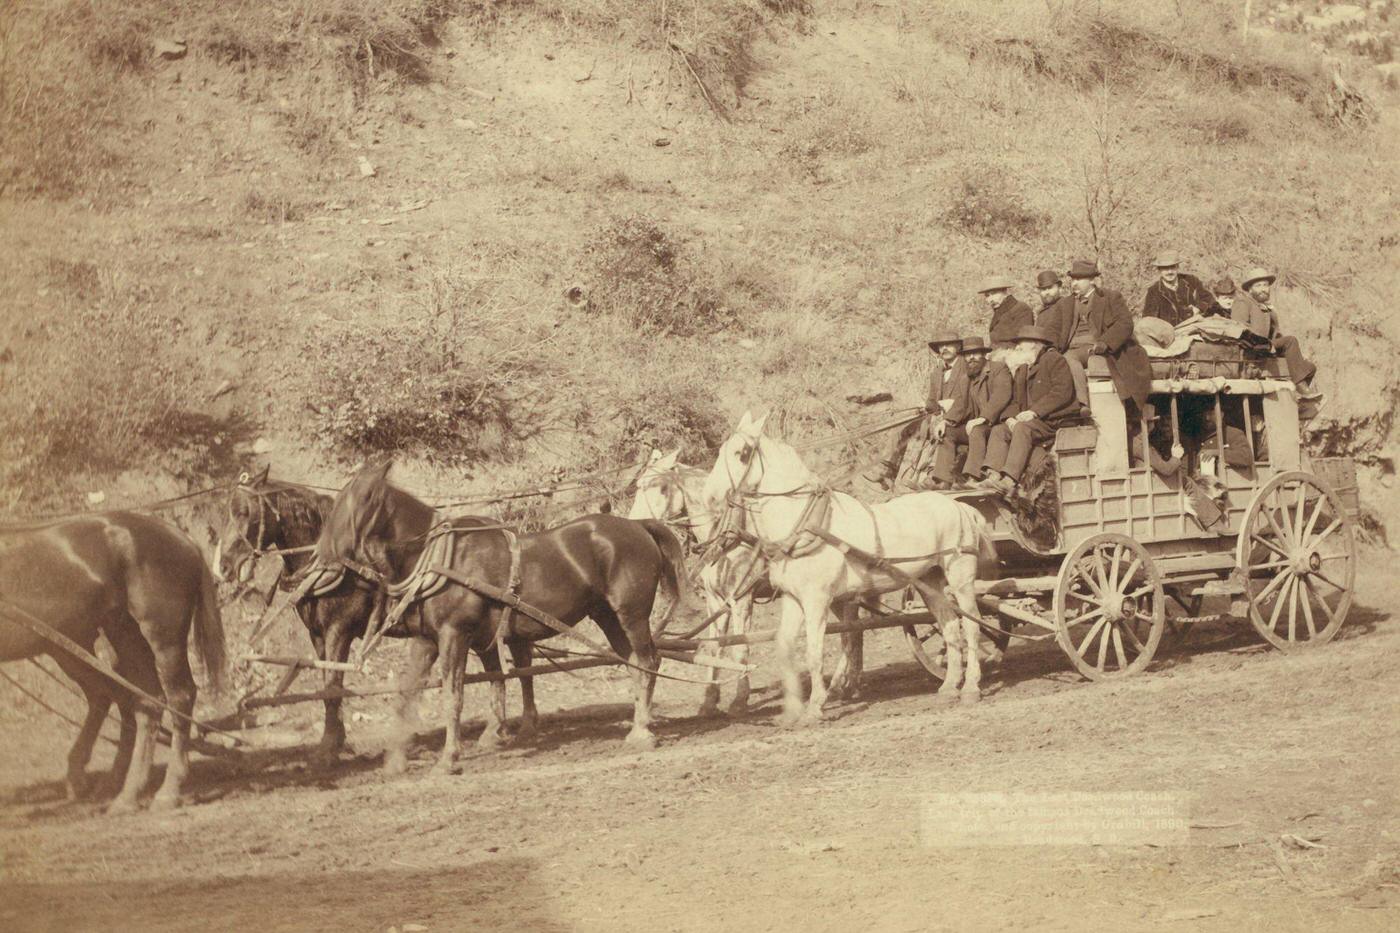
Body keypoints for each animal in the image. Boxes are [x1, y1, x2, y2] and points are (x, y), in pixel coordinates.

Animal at [0, 509, 224, 806]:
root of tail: (181, 537)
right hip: (112, 636)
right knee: (140, 700)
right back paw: (125, 792)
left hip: (162, 637)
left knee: (178, 697)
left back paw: (168, 789)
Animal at [217, 467, 534, 762]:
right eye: (227, 512)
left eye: (244, 512)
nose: (223, 565)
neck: (334, 565)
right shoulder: (317, 635)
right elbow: (327, 685)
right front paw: (336, 739)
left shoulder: (338, 631)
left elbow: (333, 688)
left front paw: (329, 748)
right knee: (498, 669)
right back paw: (495, 729)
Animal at [317, 456, 688, 767]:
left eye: (364, 498)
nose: (324, 552)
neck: (439, 556)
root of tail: (639, 526)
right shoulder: (428, 640)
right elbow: (408, 694)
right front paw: (395, 759)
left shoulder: (455, 635)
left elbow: (454, 693)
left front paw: (450, 757)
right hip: (608, 617)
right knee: (634, 663)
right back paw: (638, 724)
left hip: (631, 614)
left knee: (649, 660)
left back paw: (643, 731)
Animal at [700, 411, 996, 722]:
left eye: (742, 453)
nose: (709, 497)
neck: (805, 525)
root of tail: (961, 507)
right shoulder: (793, 599)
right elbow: (784, 647)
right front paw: (793, 708)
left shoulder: (815, 600)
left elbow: (814, 652)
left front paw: (815, 706)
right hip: (931, 582)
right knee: (949, 625)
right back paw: (950, 686)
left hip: (960, 579)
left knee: (971, 626)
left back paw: (971, 687)